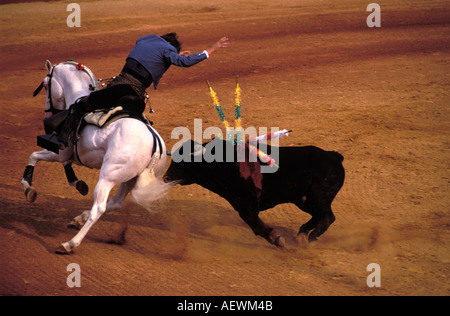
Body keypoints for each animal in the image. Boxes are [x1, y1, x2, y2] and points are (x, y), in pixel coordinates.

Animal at [22, 60, 171, 254]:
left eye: (46, 85)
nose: (48, 114)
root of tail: (155, 143)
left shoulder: (59, 151)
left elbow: (33, 156)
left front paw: (28, 188)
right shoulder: (68, 155)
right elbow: (59, 163)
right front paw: (77, 183)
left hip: (107, 177)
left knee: (99, 208)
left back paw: (70, 243)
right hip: (128, 179)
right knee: (115, 202)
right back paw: (79, 218)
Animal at [165, 139, 344, 248]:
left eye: (182, 161)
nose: (166, 177)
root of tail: (334, 156)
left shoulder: (248, 202)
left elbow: (254, 223)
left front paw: (277, 240)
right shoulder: (239, 203)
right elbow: (253, 224)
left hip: (319, 196)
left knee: (327, 217)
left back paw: (311, 239)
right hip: (304, 200)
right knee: (320, 216)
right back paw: (301, 235)